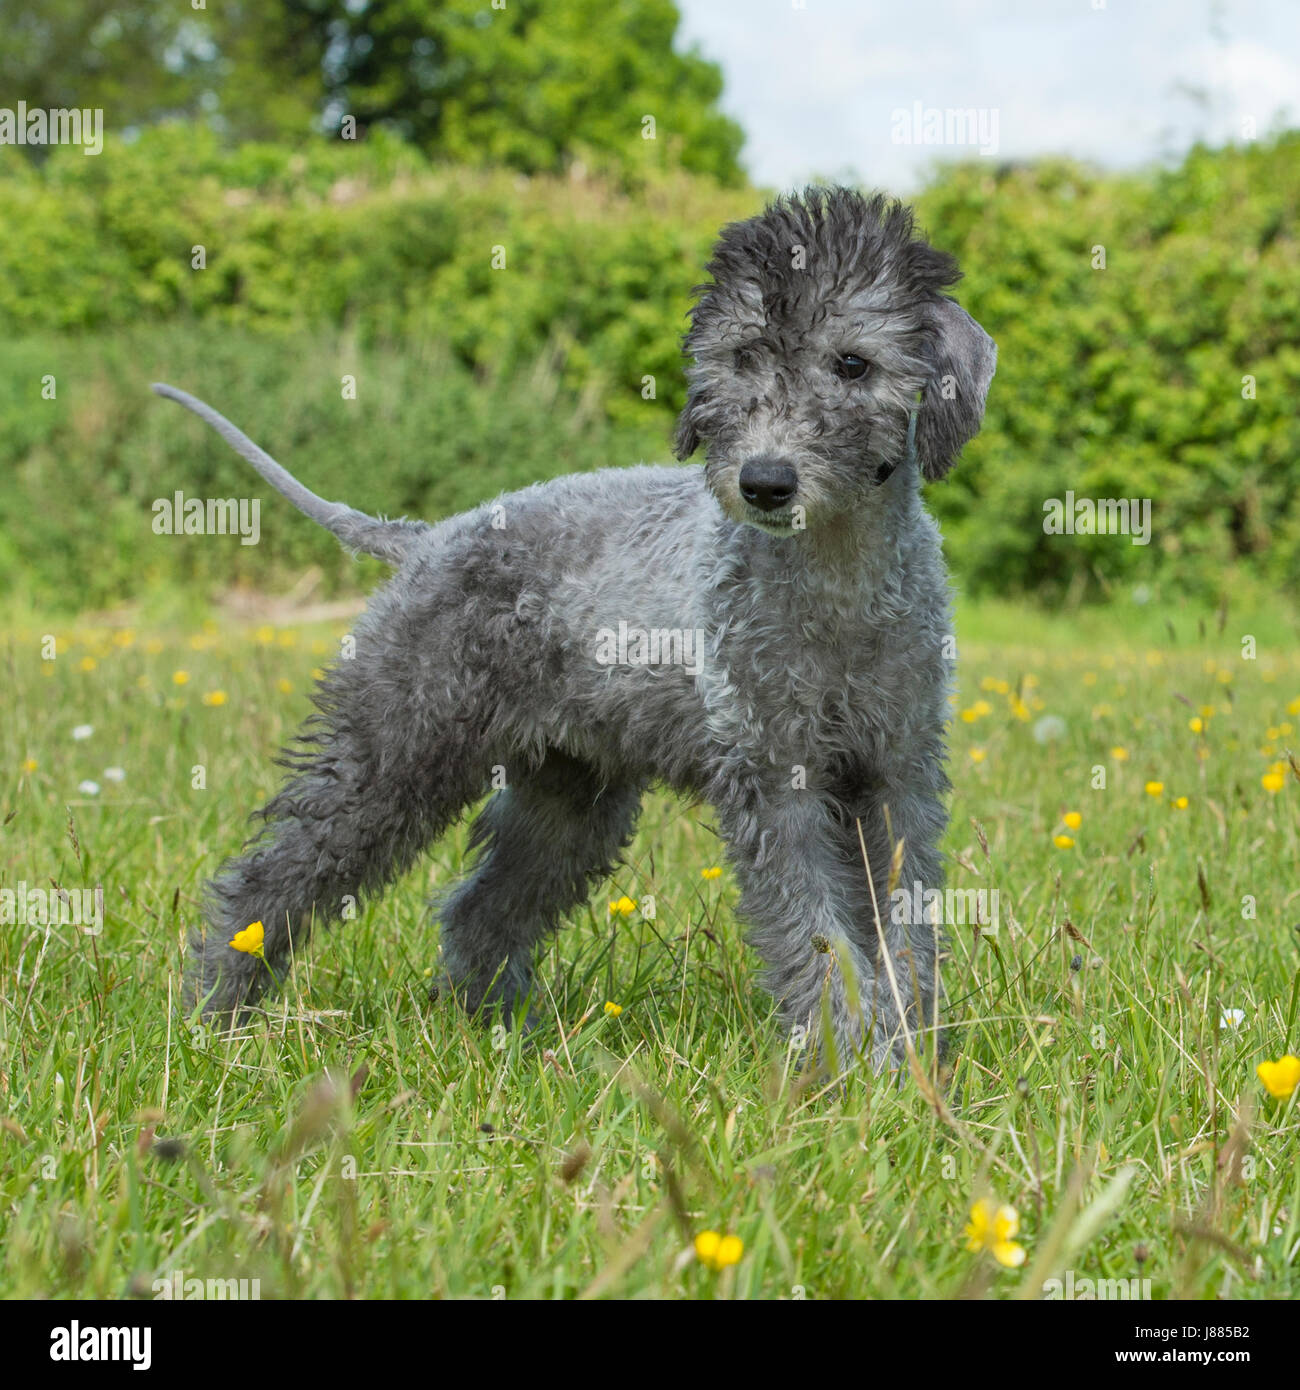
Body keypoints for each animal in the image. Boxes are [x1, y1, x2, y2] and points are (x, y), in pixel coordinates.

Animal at [157, 184, 1001, 1073]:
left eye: (852, 364)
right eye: (741, 357)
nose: (764, 482)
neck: (837, 584)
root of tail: (425, 537)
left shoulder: (896, 774)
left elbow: (905, 932)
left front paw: (917, 1059)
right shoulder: (775, 779)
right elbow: (819, 933)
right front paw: (855, 1062)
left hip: (569, 792)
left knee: (481, 913)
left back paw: (512, 1041)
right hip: (393, 746)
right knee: (268, 883)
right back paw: (214, 1020)